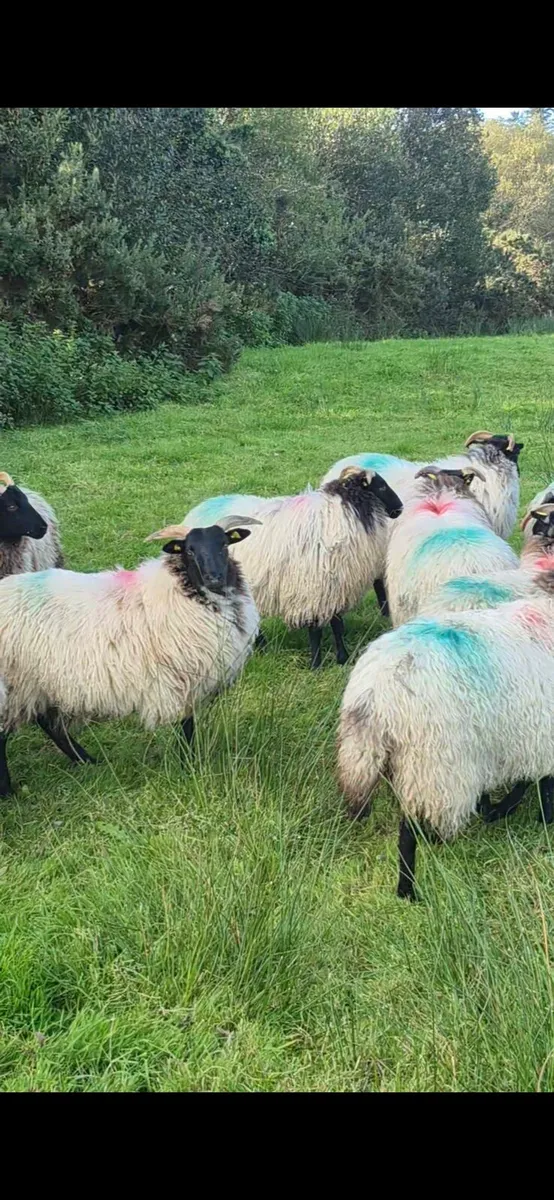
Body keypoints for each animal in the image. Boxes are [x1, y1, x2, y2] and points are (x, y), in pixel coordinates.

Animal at [0, 514, 261, 797]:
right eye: (189, 550)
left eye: (224, 544)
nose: (214, 578)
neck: (183, 589)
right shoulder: (184, 679)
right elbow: (187, 725)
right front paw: (187, 763)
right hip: (13, 686)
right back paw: (9, 791)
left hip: (37, 683)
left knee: (49, 725)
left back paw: (87, 761)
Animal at [186, 467, 403, 669]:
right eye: (382, 486)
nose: (399, 508)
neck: (341, 513)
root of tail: (198, 510)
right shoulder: (312, 589)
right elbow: (315, 631)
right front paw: (316, 665)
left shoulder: (334, 588)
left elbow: (337, 625)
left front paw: (343, 658)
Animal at [337, 571, 554, 899]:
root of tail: (374, 693)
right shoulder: (540, 734)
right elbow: (538, 784)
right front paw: (536, 819)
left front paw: (501, 811)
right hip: (432, 763)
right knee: (407, 832)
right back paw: (408, 891)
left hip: (393, 759)